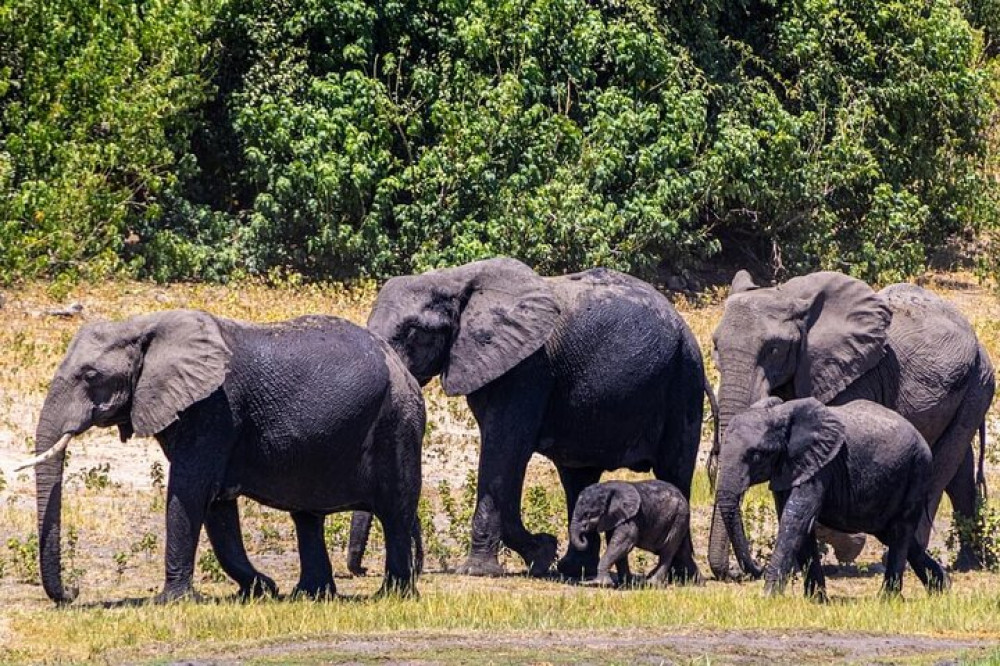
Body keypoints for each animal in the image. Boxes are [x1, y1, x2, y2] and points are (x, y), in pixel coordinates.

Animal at [20, 308, 426, 600]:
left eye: (90, 376)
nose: (74, 591)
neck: (144, 324)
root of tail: (402, 370)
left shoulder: (213, 408)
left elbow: (190, 490)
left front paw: (172, 602)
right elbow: (216, 505)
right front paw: (261, 590)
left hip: (397, 424)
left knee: (395, 511)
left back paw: (393, 596)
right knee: (307, 516)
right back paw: (309, 595)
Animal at [348, 254, 716, 576]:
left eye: (415, 333)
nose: (362, 570)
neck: (453, 279)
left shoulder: (528, 368)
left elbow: (504, 451)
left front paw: (484, 570)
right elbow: (504, 456)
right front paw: (542, 554)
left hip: (683, 378)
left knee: (673, 470)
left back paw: (681, 576)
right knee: (578, 478)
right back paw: (573, 570)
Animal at [716, 394, 948, 596]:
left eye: (756, 455)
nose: (757, 567)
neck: (779, 414)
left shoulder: (821, 466)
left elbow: (796, 520)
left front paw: (768, 597)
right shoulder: (792, 467)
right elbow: (798, 522)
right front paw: (816, 601)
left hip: (918, 470)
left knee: (900, 530)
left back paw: (888, 599)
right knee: (892, 533)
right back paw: (941, 589)